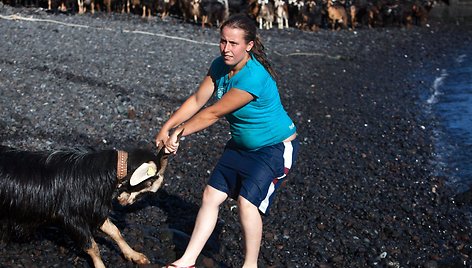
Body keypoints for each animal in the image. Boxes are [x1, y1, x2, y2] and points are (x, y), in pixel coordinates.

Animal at [0, 141, 175, 266]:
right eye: (149, 185)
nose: (126, 203)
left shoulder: (93, 208)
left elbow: (115, 231)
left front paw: (134, 255)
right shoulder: (70, 216)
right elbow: (92, 246)